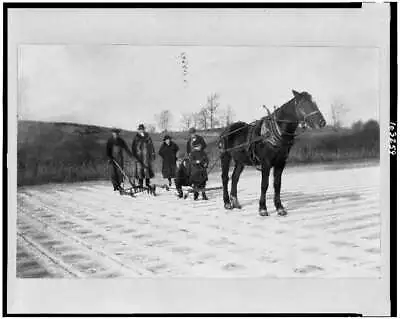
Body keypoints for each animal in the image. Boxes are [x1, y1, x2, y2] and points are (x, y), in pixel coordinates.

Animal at [219, 89, 324, 218]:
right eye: (303, 104)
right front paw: (262, 209)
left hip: (240, 161)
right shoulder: (266, 163)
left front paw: (280, 208)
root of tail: (226, 129)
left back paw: (235, 202)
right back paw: (227, 203)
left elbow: (277, 184)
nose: (322, 122)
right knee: (225, 178)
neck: (274, 133)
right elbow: (264, 185)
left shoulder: (280, 163)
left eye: (314, 103)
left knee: (235, 177)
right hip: (225, 156)